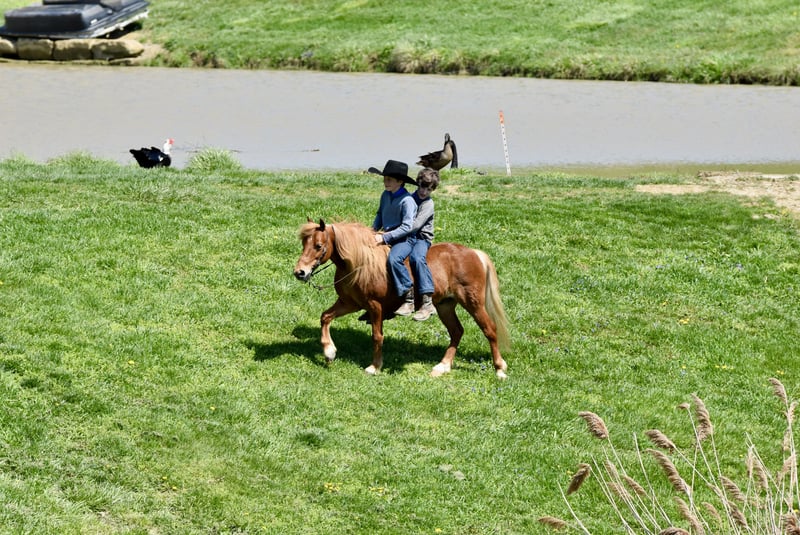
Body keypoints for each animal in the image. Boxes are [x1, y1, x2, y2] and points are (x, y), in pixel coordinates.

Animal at [293, 219, 510, 378]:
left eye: (318, 246)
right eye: (304, 244)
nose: (300, 272)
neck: (360, 264)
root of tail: (475, 253)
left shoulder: (374, 306)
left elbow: (377, 336)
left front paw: (374, 367)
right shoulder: (349, 303)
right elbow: (325, 317)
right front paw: (329, 352)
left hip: (473, 303)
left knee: (490, 329)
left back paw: (499, 369)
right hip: (445, 305)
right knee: (456, 331)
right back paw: (443, 366)